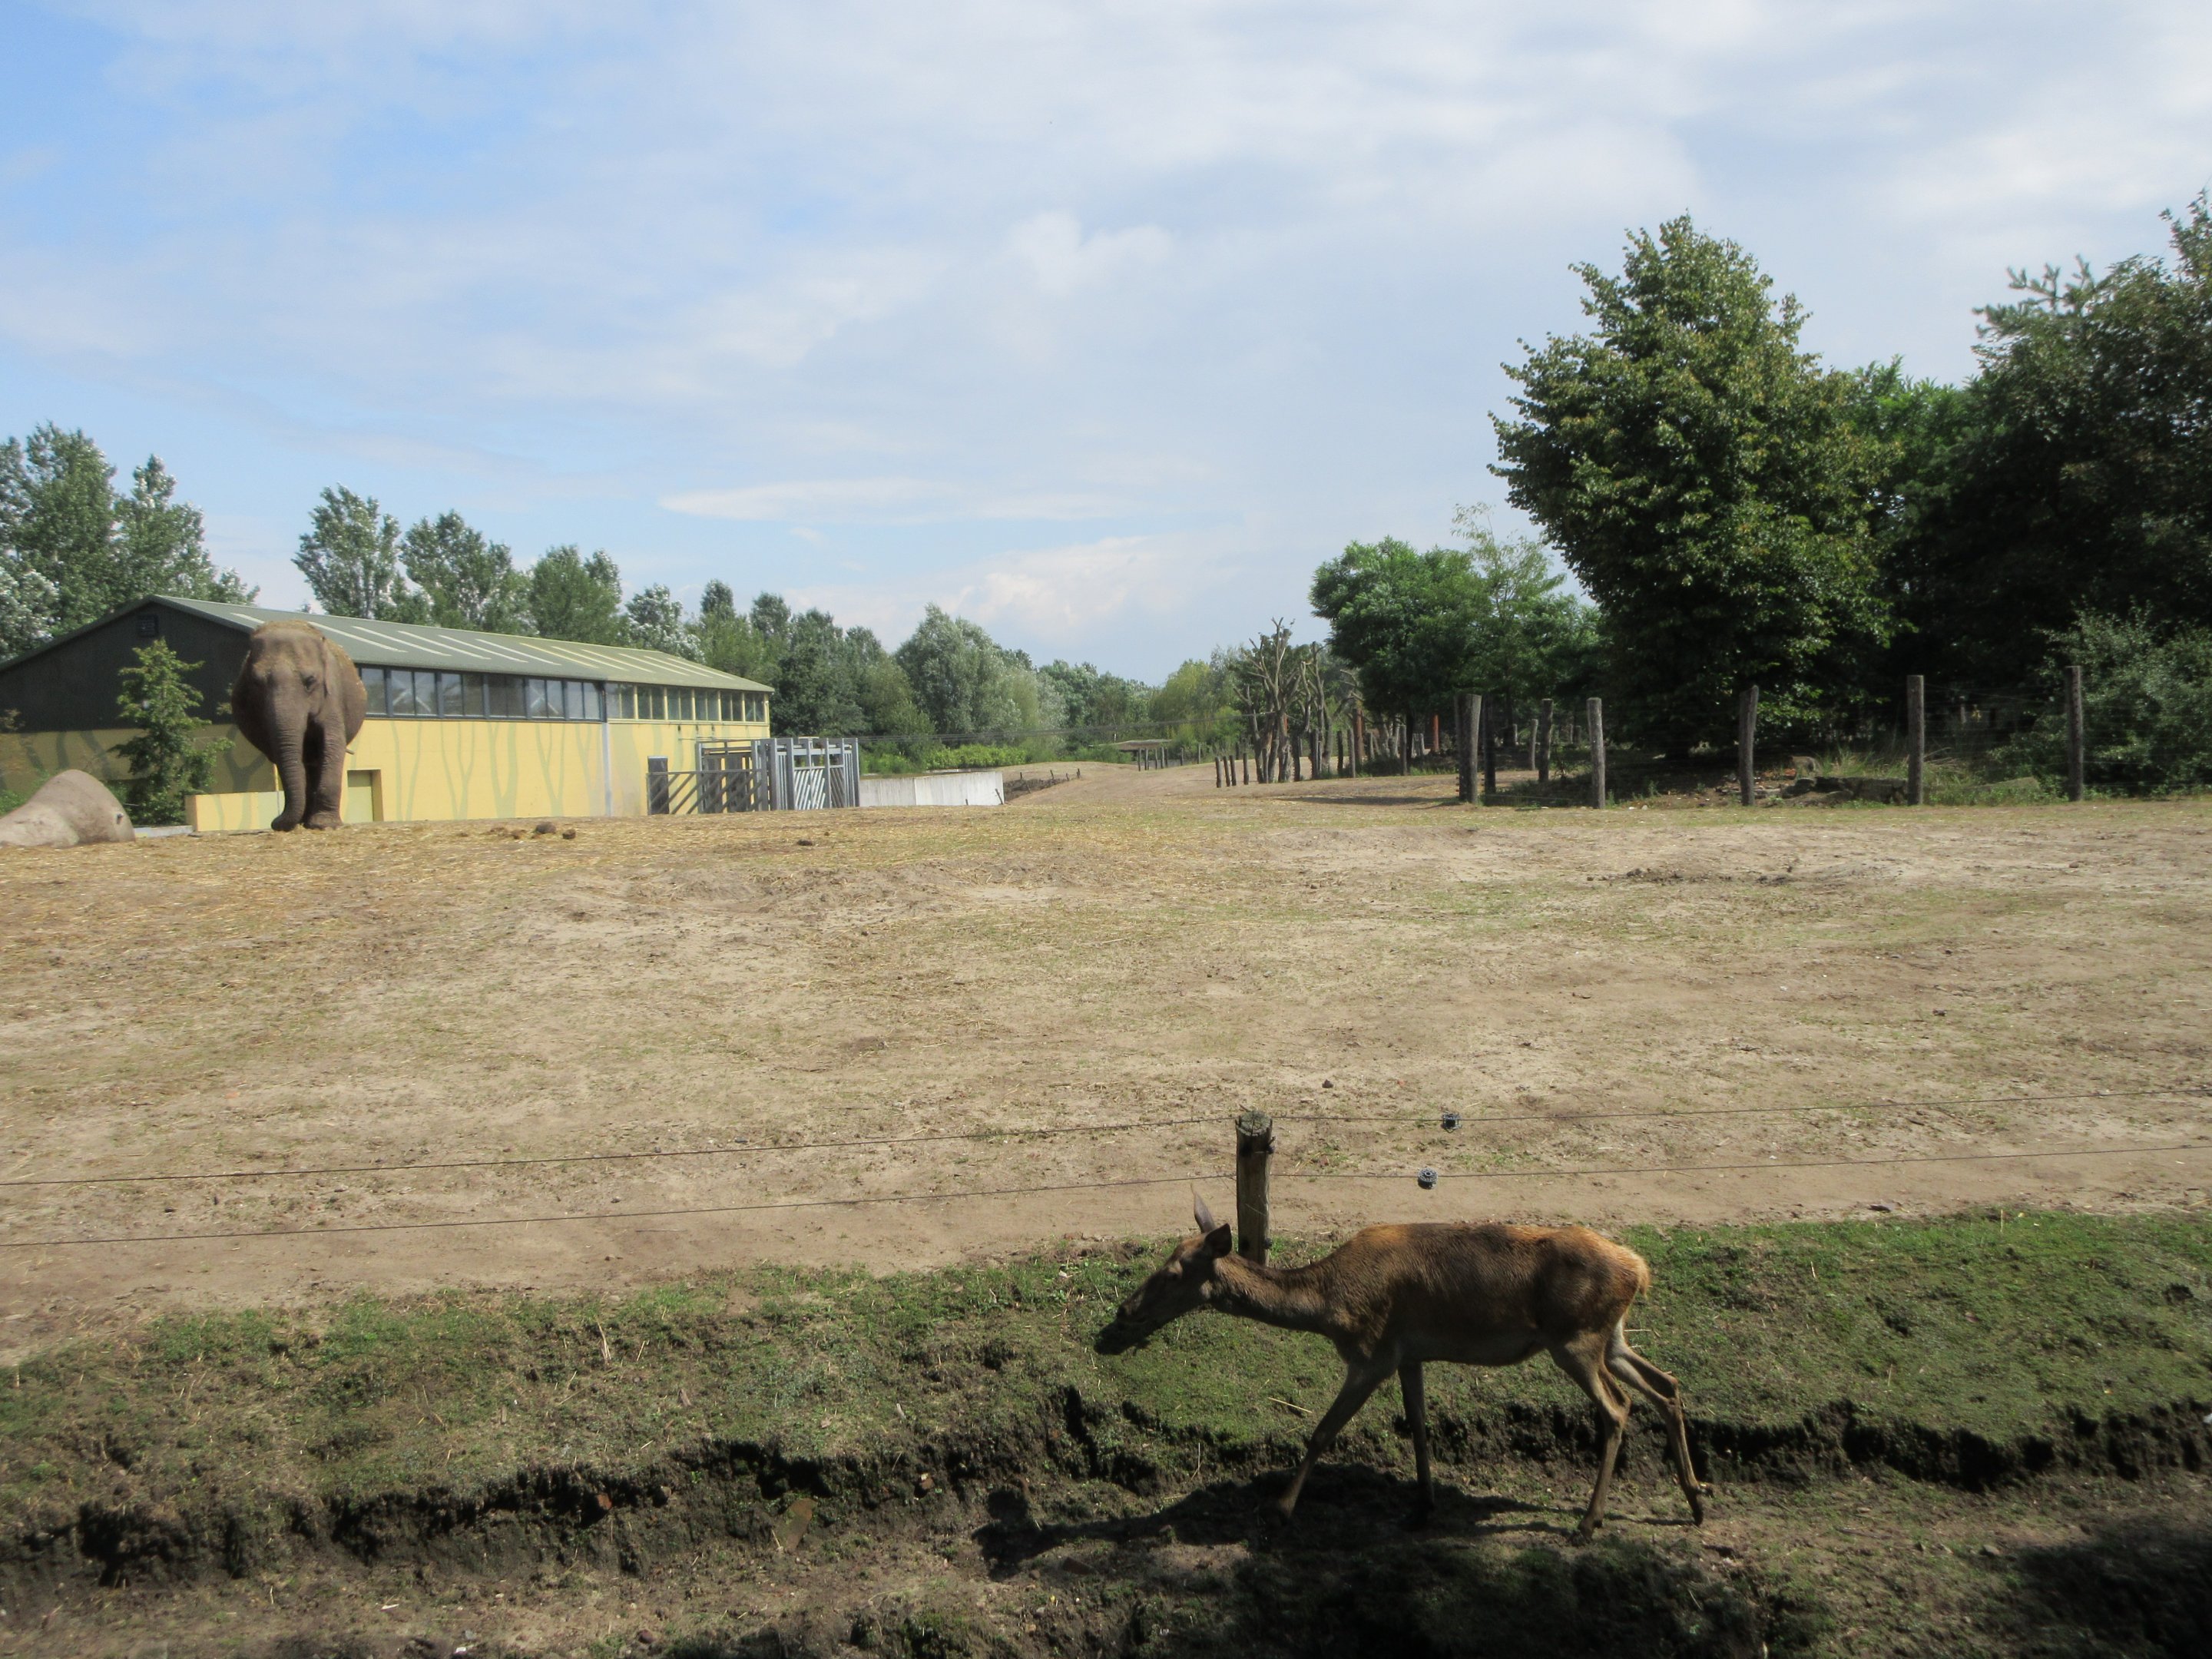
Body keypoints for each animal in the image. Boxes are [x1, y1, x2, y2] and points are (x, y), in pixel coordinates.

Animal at [230, 620, 368, 831]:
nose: (275, 822)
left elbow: (332, 743)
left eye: (310, 681)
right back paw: (305, 821)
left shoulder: (332, 696)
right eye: (256, 682)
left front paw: (325, 825)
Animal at [1093, 1194, 1707, 1539]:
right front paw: (1422, 1508)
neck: (1329, 1306)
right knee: (1667, 1386)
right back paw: (1696, 1500)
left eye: (1174, 1272)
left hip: (1574, 1340)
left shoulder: (1372, 1354)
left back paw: (1587, 1524)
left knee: (1619, 1408)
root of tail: (1641, 1270)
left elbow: (1321, 1432)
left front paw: (1281, 1510)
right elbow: (1418, 1426)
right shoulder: (1411, 1355)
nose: (1116, 1322)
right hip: (1611, 1338)